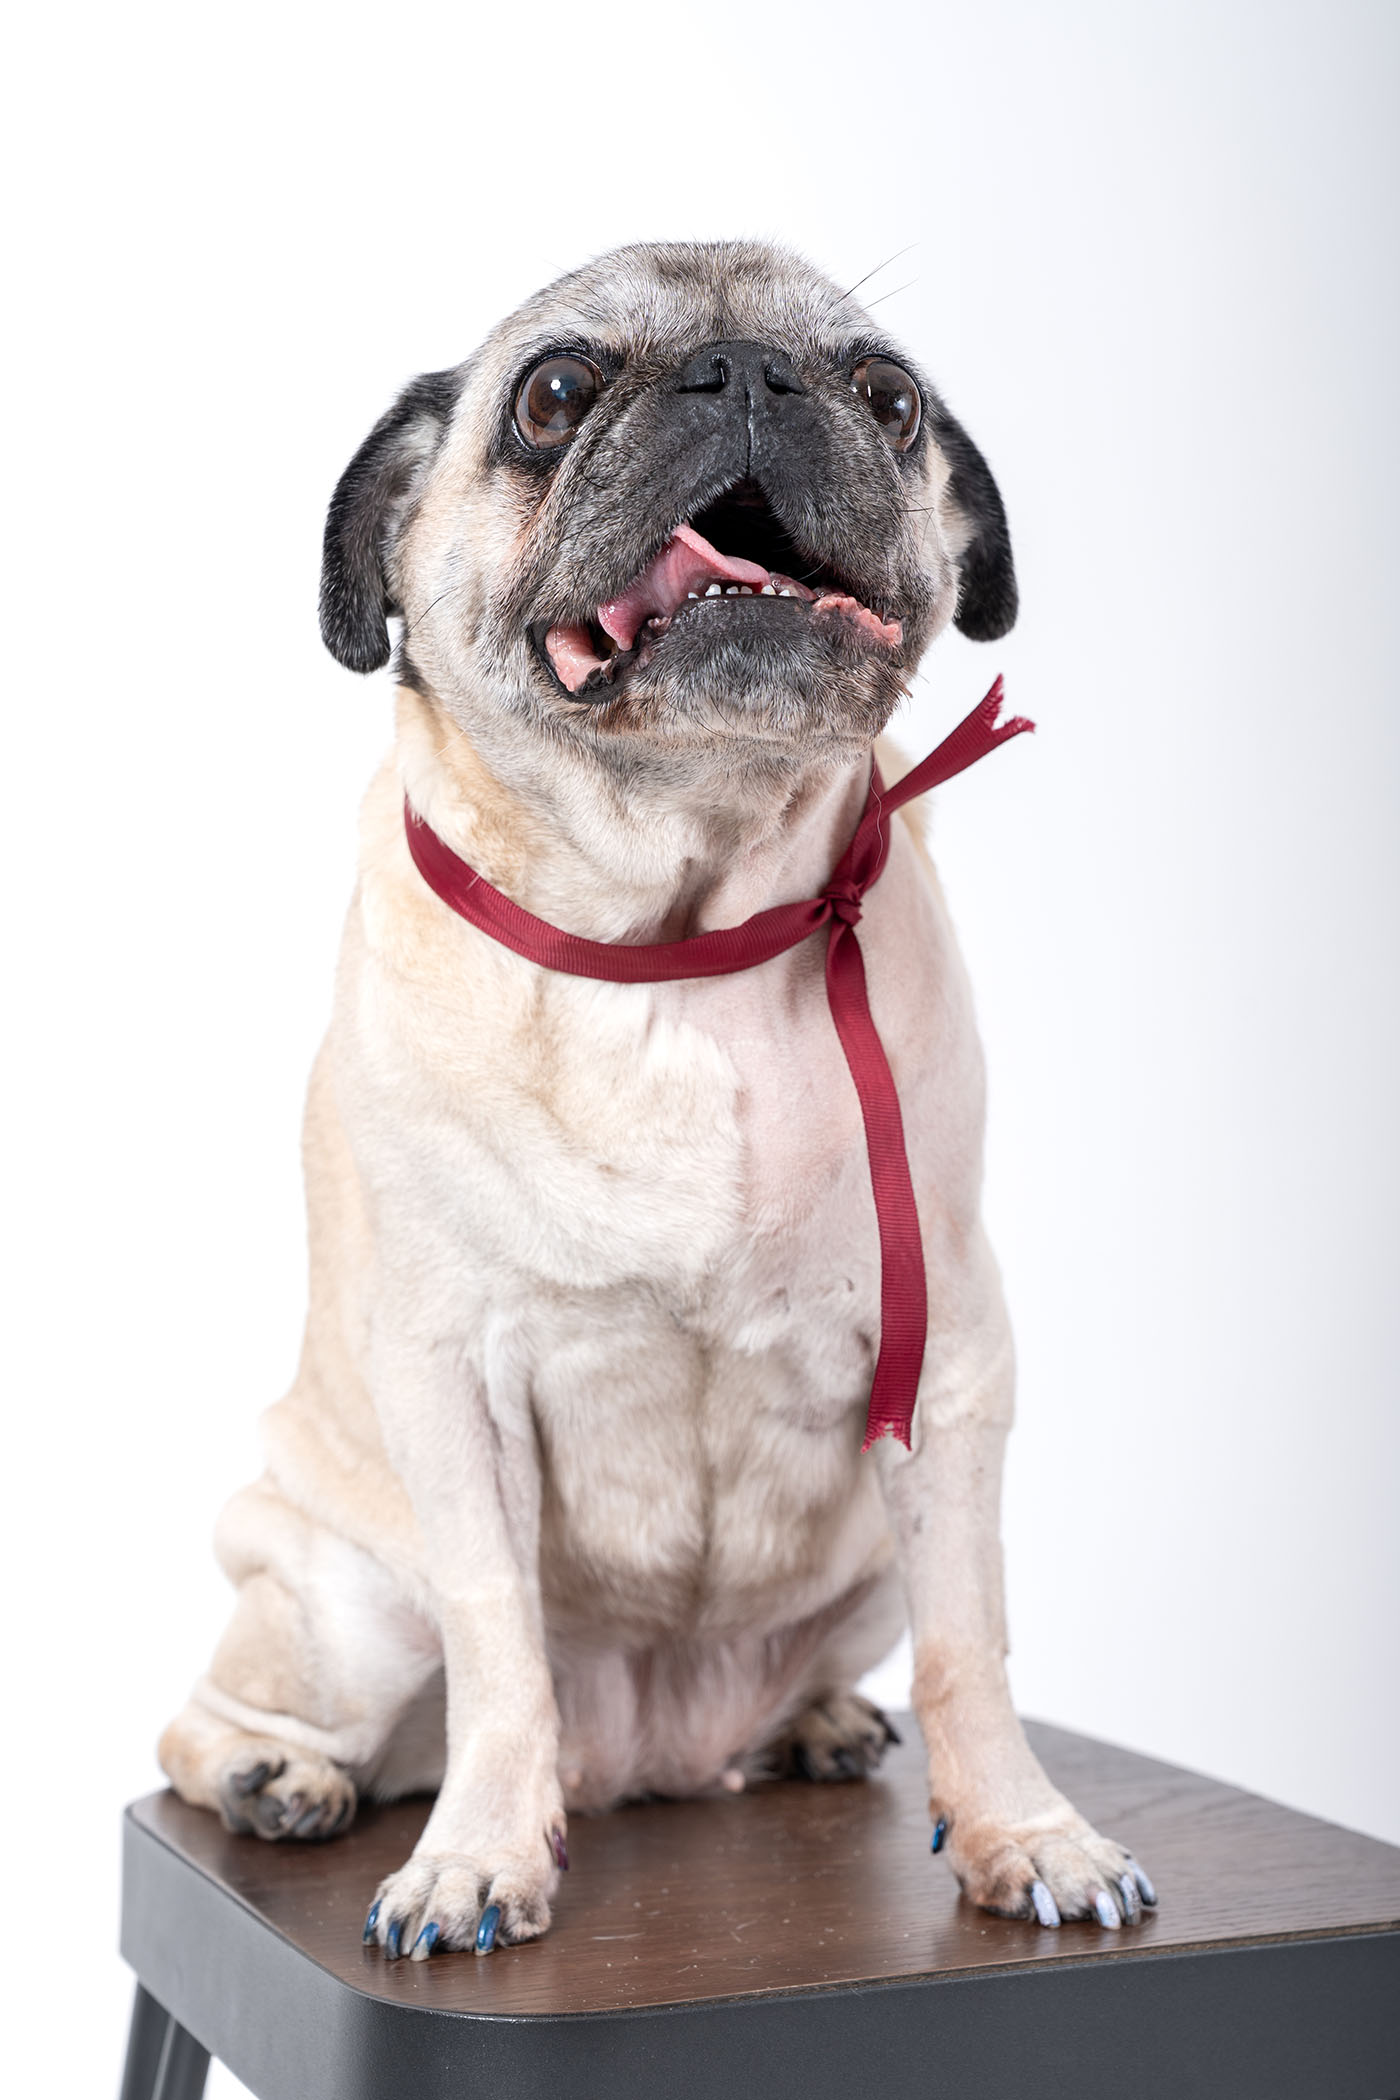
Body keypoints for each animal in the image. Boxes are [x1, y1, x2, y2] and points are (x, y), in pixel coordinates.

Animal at [159, 239, 1155, 1958]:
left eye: (889, 398)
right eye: (556, 393)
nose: (749, 373)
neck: (685, 943)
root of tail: (656, 1764)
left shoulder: (948, 1361)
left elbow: (973, 1644)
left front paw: (1027, 1835)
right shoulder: (453, 1384)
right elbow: (499, 1648)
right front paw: (477, 1860)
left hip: (861, 1557)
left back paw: (817, 1724)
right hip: (345, 1612)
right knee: (224, 1721)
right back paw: (279, 1783)